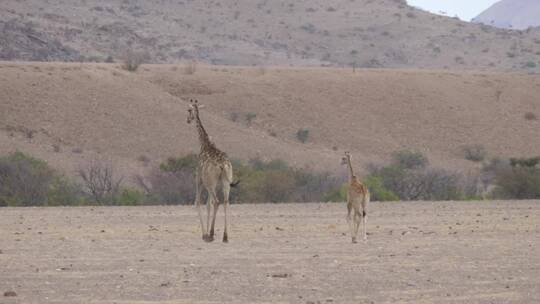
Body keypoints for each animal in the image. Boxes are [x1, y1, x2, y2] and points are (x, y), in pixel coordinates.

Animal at [187, 99, 237, 242]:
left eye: (189, 110)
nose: (188, 120)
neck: (204, 144)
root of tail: (222, 165)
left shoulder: (199, 178)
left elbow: (199, 203)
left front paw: (204, 234)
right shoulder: (208, 183)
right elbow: (208, 204)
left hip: (212, 183)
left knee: (216, 202)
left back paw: (211, 233)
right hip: (225, 181)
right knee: (225, 202)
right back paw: (225, 236)